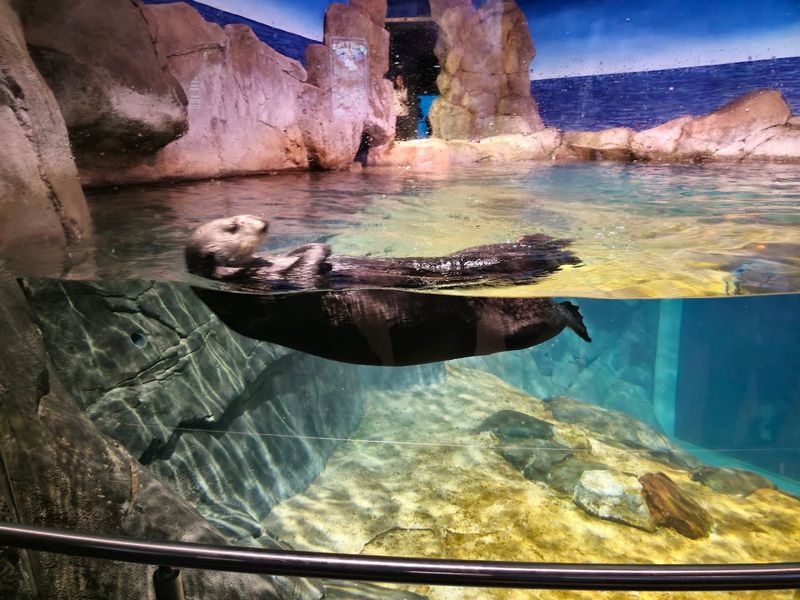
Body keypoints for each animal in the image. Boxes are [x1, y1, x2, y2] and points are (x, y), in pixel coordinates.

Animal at [186, 215, 591, 366]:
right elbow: (306, 273)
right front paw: (318, 249)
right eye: (233, 227)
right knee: (552, 312)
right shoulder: (267, 291)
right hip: (518, 319)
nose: (264, 223)